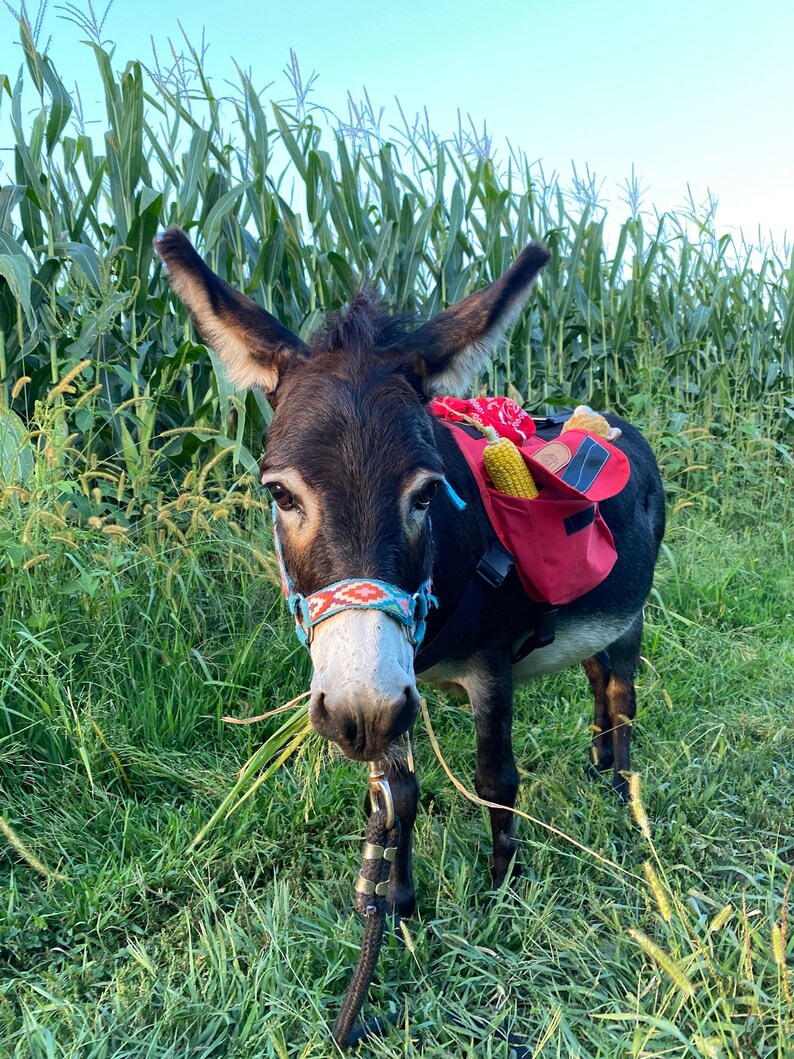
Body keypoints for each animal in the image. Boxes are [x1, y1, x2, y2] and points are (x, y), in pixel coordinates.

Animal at [155, 229, 665, 919]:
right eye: (280, 495)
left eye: (426, 494)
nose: (360, 714)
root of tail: (609, 421)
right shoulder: (396, 685)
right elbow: (397, 794)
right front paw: (394, 902)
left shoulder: (487, 665)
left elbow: (497, 778)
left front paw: (503, 888)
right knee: (596, 678)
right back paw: (596, 764)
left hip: (630, 617)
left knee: (622, 694)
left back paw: (620, 787)